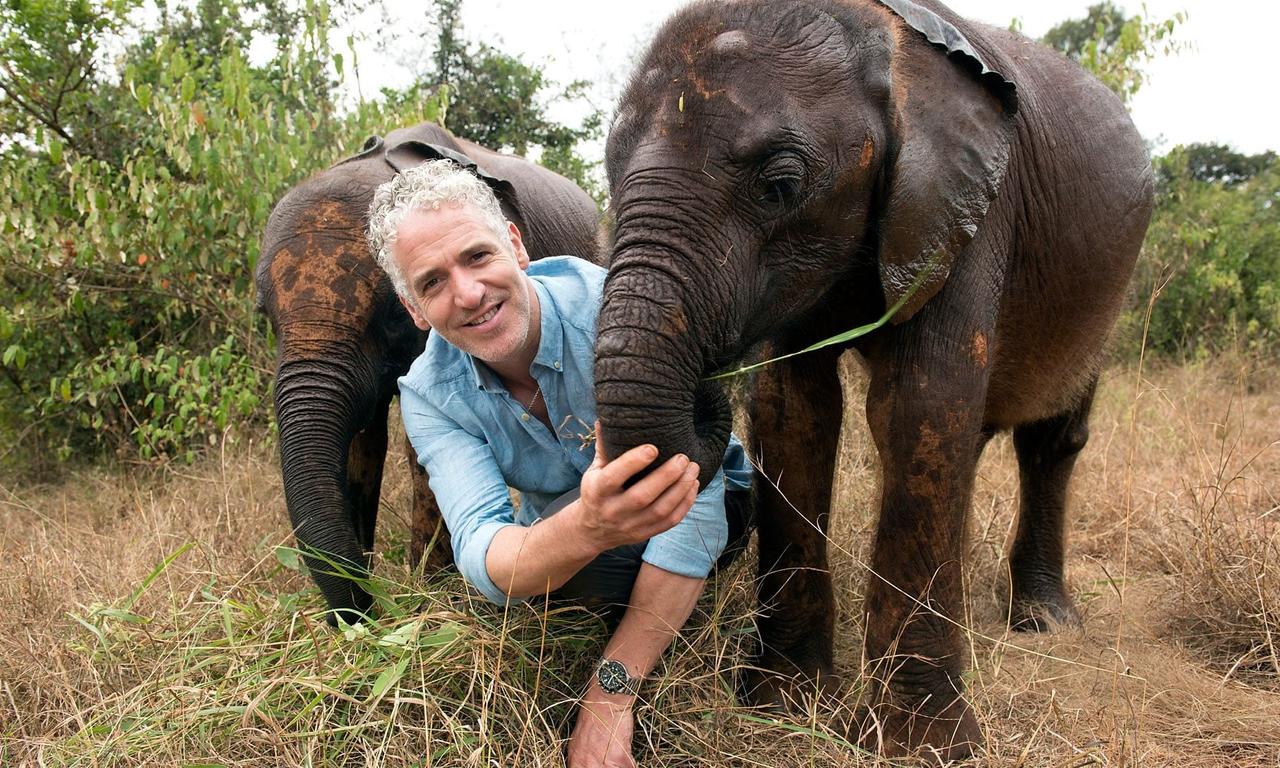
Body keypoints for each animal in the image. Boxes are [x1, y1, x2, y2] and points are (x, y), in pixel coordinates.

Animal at [256, 122, 601, 624]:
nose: (363, 613)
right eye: (265, 316)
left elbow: (416, 451)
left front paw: (432, 592)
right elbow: (364, 441)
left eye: (390, 313)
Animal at [593, 0, 1153, 760]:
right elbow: (793, 409)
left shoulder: (972, 211)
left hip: (1107, 290)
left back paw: (1044, 621)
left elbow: (918, 408)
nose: (705, 399)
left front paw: (921, 747)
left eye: (780, 186)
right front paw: (785, 705)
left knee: (1051, 437)